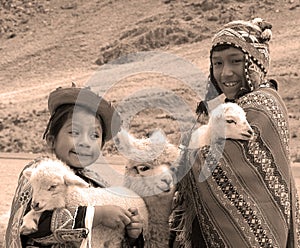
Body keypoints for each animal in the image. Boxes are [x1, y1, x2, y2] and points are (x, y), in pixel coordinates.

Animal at [19, 159, 149, 248]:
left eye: (53, 186)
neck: (79, 198)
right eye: (33, 185)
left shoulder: (96, 240)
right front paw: (28, 221)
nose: (34, 204)